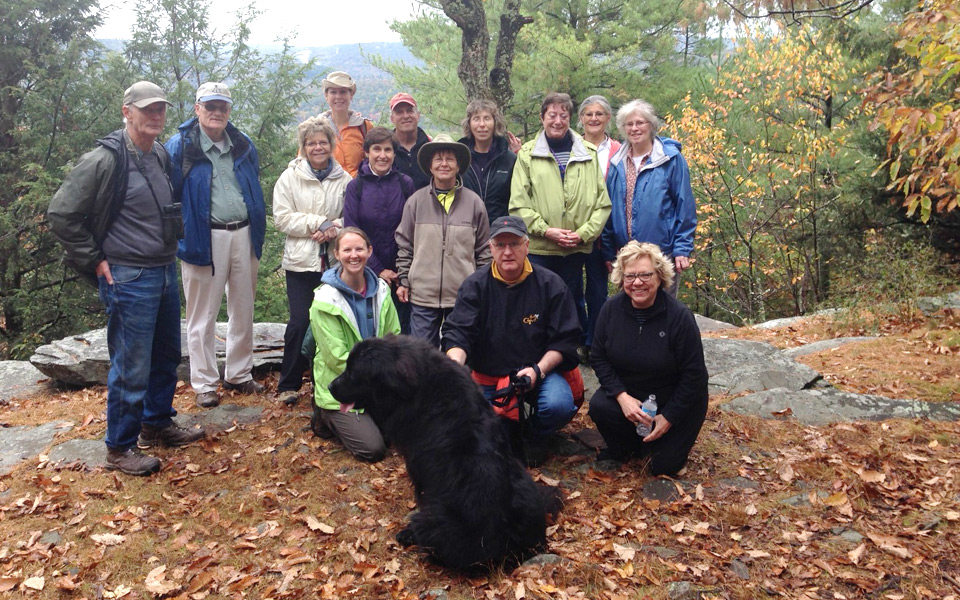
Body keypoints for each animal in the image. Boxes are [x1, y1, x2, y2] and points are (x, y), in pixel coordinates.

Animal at [330, 336, 560, 568]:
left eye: (353, 373)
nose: (330, 386)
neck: (416, 387)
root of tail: (512, 545)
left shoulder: (418, 469)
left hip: (436, 524)